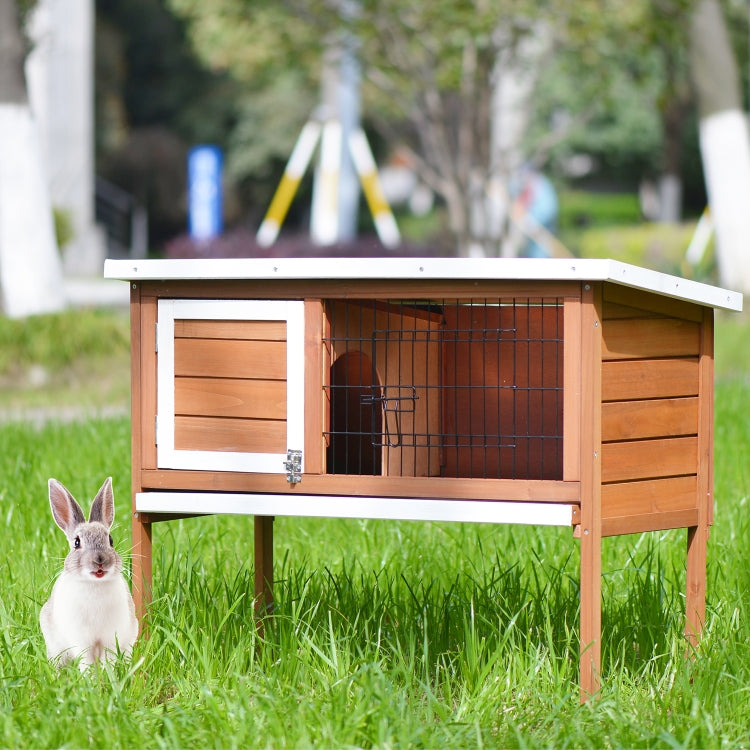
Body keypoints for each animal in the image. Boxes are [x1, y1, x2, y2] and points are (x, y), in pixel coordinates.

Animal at [40, 478, 139, 672]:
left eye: (110, 540)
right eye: (77, 542)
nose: (99, 560)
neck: (95, 584)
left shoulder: (111, 639)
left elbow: (108, 658)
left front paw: (108, 675)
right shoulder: (81, 640)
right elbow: (86, 660)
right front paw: (90, 677)